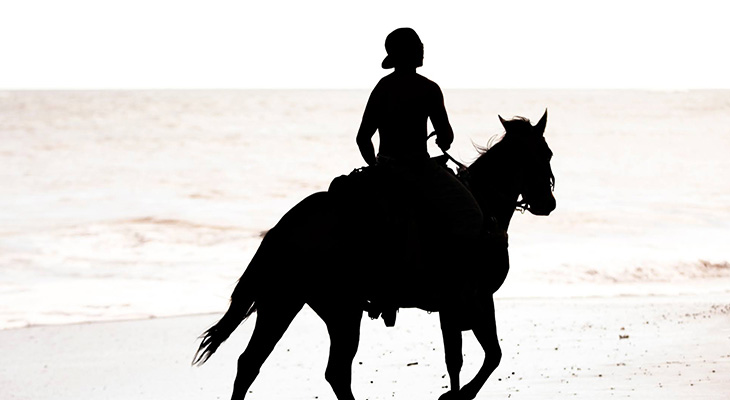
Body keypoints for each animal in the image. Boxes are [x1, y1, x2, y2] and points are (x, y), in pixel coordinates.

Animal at [193, 110, 556, 400]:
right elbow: (477, 357)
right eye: (545, 154)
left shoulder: (463, 303)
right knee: (324, 370)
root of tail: (286, 227)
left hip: (293, 302)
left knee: (258, 363)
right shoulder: (470, 298)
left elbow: (475, 355)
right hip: (330, 307)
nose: (547, 203)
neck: (484, 203)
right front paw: (456, 396)